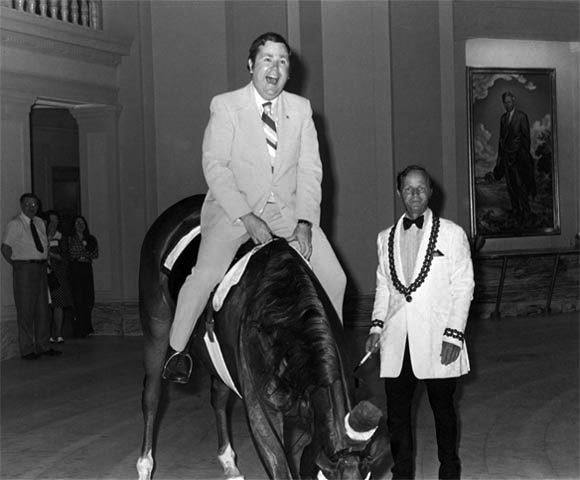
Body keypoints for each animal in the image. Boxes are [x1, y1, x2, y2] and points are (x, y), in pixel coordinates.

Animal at [137, 196, 386, 480]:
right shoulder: (261, 411)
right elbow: (278, 463)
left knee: (218, 397)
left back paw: (230, 464)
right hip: (156, 329)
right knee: (152, 396)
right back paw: (145, 466)